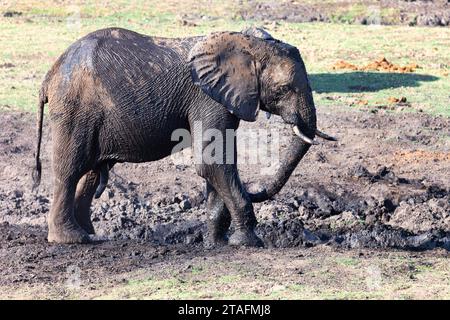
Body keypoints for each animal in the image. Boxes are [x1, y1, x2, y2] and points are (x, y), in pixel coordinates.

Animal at [33, 27, 336, 248]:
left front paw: (215, 244)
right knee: (70, 169)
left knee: (90, 172)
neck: (246, 44)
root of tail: (50, 75)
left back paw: (91, 234)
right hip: (75, 108)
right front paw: (249, 243)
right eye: (284, 88)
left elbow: (219, 162)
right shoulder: (207, 98)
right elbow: (211, 163)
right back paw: (71, 239)